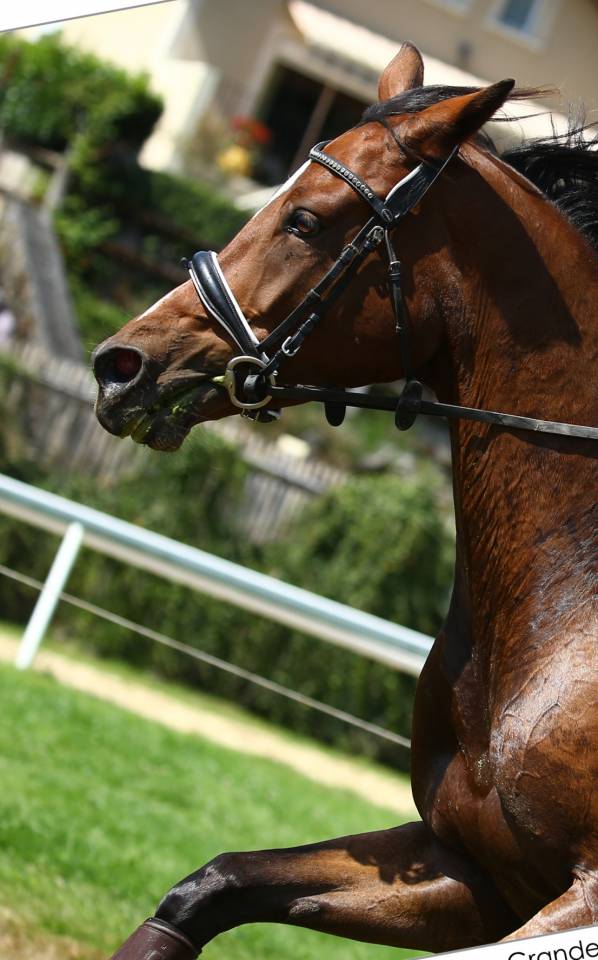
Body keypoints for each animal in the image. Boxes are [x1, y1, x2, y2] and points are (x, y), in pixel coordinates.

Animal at [92, 44, 598, 960]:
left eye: (305, 221)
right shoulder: (468, 870)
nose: (119, 365)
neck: (567, 608)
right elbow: (209, 885)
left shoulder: (574, 897)